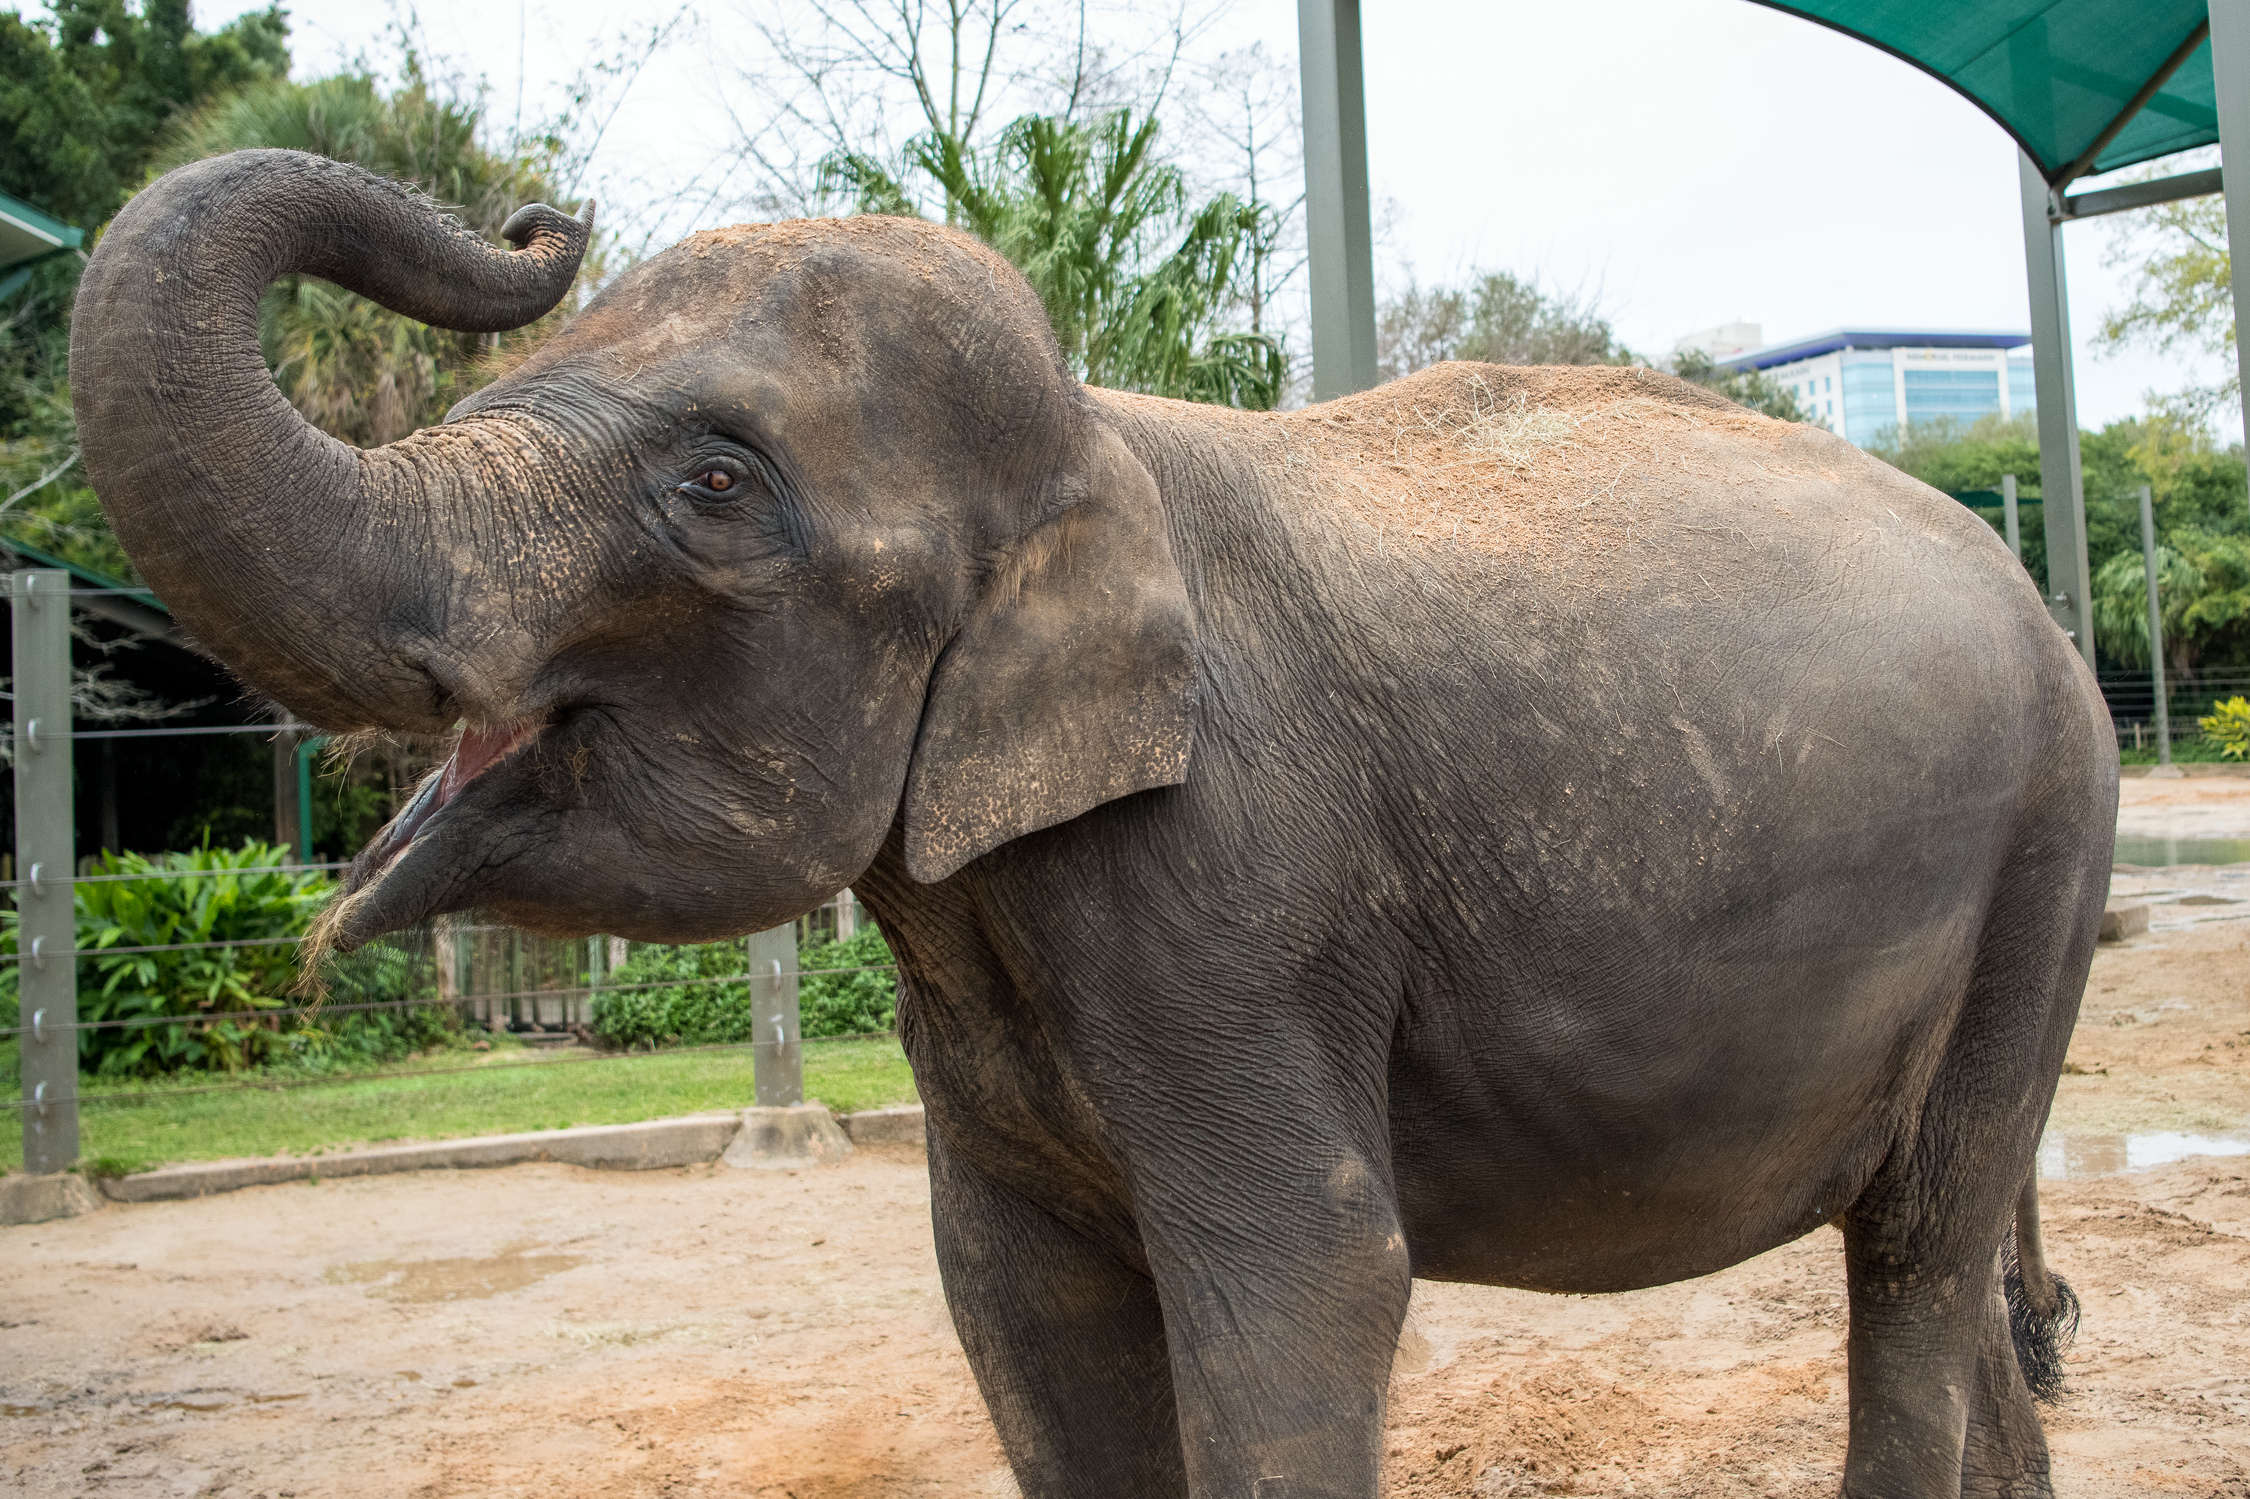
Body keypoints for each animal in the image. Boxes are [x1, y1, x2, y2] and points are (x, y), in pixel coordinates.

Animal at [70, 154, 2106, 1494]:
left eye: (715, 484)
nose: (533, 217)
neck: (1094, 441)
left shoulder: (1237, 884)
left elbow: (1305, 1284)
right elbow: (1020, 1304)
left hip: (2045, 860)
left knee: (1916, 1247)